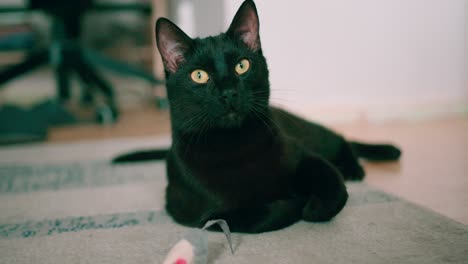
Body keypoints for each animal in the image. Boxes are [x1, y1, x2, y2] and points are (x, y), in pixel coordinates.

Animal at [114, 0, 402, 232]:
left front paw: (314, 206)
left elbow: (335, 188)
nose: (229, 92)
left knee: (341, 139)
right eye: (199, 75)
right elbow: (268, 212)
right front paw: (297, 201)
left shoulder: (305, 156)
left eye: (242, 65)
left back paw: (366, 161)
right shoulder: (200, 213)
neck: (237, 146)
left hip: (313, 135)